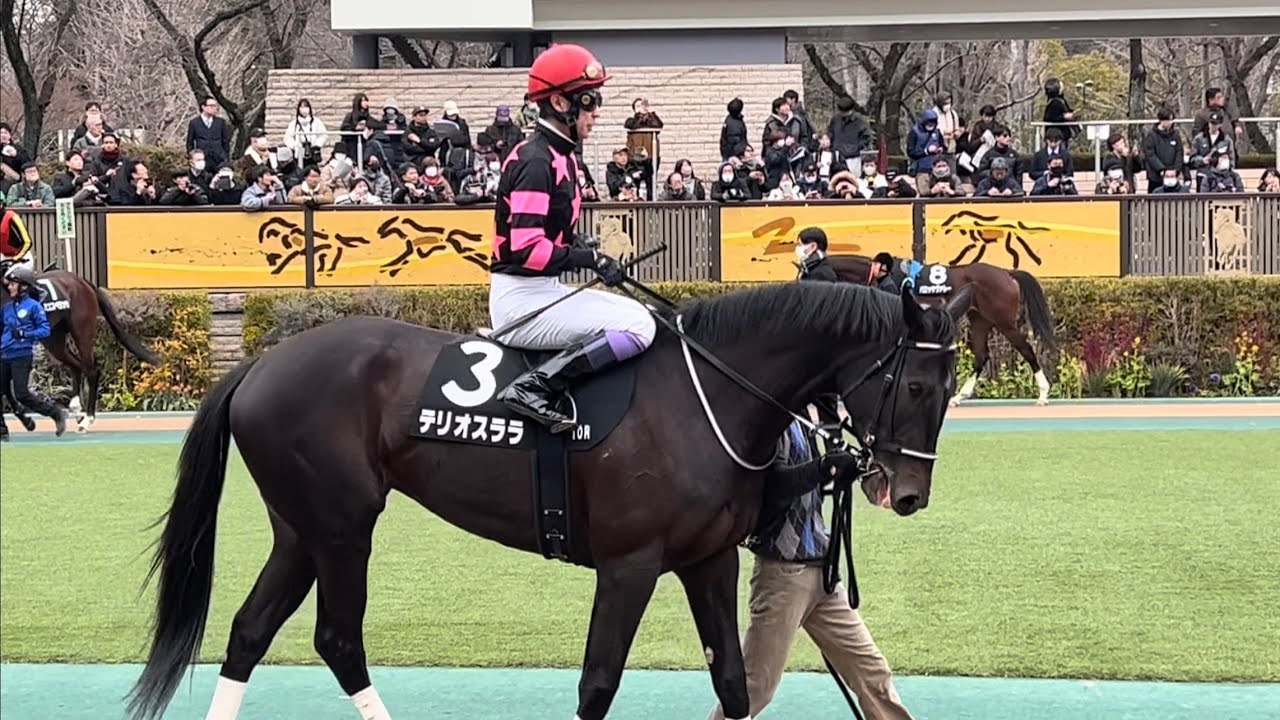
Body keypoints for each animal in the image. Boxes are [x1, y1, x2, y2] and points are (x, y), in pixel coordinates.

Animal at [0, 261, 160, 433]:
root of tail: (81, 280)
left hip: (82, 333)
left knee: (92, 370)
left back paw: (87, 419)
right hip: (53, 339)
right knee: (76, 365)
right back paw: (77, 410)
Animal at [127, 280, 973, 720]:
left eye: (950, 386)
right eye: (917, 385)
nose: (908, 493)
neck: (705, 392)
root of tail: (259, 365)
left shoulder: (709, 562)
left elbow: (734, 684)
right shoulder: (630, 566)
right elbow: (597, 684)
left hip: (301, 528)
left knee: (249, 631)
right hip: (341, 529)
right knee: (339, 640)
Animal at [825, 254, 1056, 406]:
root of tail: (1007, 273)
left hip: (1003, 321)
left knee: (1025, 348)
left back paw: (1043, 394)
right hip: (979, 319)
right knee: (982, 356)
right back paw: (959, 396)